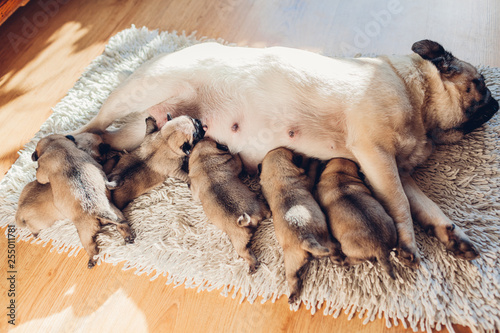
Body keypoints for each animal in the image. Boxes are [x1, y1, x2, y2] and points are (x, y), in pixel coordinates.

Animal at [28, 133, 135, 268]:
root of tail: (97, 211)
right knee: (122, 224)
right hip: (115, 211)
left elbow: (40, 175)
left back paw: (92, 260)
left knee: (92, 248)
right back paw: (128, 236)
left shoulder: (42, 170)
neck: (57, 146)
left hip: (85, 233)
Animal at [188, 137, 270, 272]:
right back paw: (253, 265)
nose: (203, 136)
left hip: (239, 240)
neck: (204, 159)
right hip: (241, 239)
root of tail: (247, 220)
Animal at [258, 147, 344, 302]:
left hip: (291, 263)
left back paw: (292, 296)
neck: (278, 177)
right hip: (327, 242)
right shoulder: (308, 178)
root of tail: (305, 238)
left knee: (293, 279)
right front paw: (314, 162)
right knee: (334, 251)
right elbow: (312, 171)